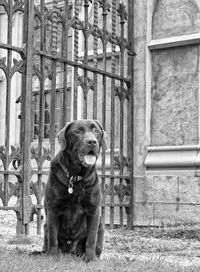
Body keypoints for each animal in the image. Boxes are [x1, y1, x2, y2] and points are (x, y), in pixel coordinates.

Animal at [36, 118, 108, 262]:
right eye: (78, 131)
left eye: (96, 131)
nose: (92, 141)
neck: (75, 176)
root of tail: (70, 252)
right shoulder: (53, 209)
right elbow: (53, 236)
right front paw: (52, 256)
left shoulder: (94, 210)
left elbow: (91, 238)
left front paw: (90, 258)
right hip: (45, 226)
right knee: (48, 238)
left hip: (101, 226)